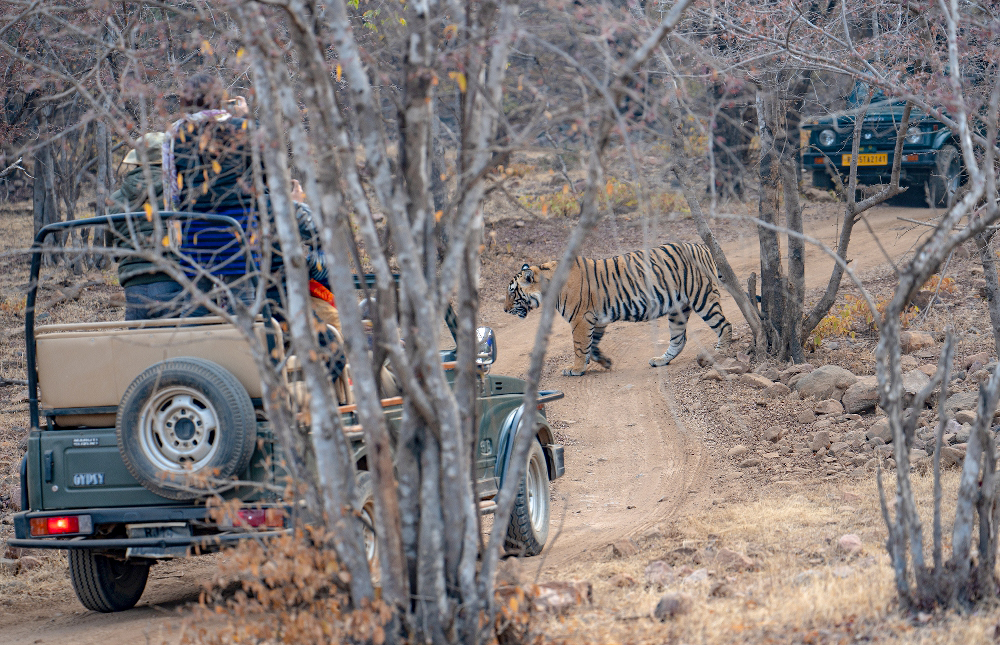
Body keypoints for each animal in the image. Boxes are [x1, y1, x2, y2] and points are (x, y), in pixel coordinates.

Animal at [508, 243, 736, 374]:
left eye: (512, 292)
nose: (504, 309)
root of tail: (701, 245)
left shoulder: (580, 319)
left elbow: (580, 346)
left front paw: (576, 369)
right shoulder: (596, 319)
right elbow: (593, 345)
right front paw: (605, 362)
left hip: (702, 297)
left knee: (724, 325)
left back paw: (719, 354)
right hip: (678, 309)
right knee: (679, 339)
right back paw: (660, 361)